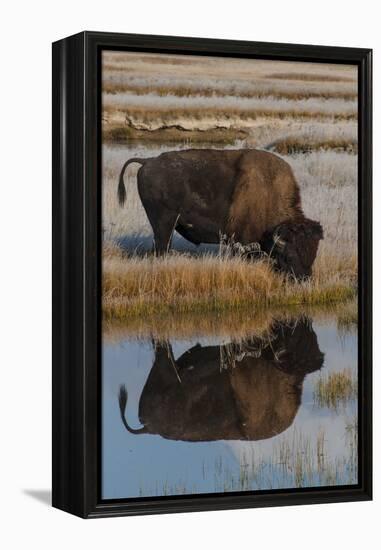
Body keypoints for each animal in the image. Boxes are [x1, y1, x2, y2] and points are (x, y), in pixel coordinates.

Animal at [117, 149, 322, 280]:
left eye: (313, 254)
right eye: (290, 256)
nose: (304, 279)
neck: (268, 191)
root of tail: (148, 161)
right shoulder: (244, 243)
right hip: (163, 224)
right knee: (161, 246)